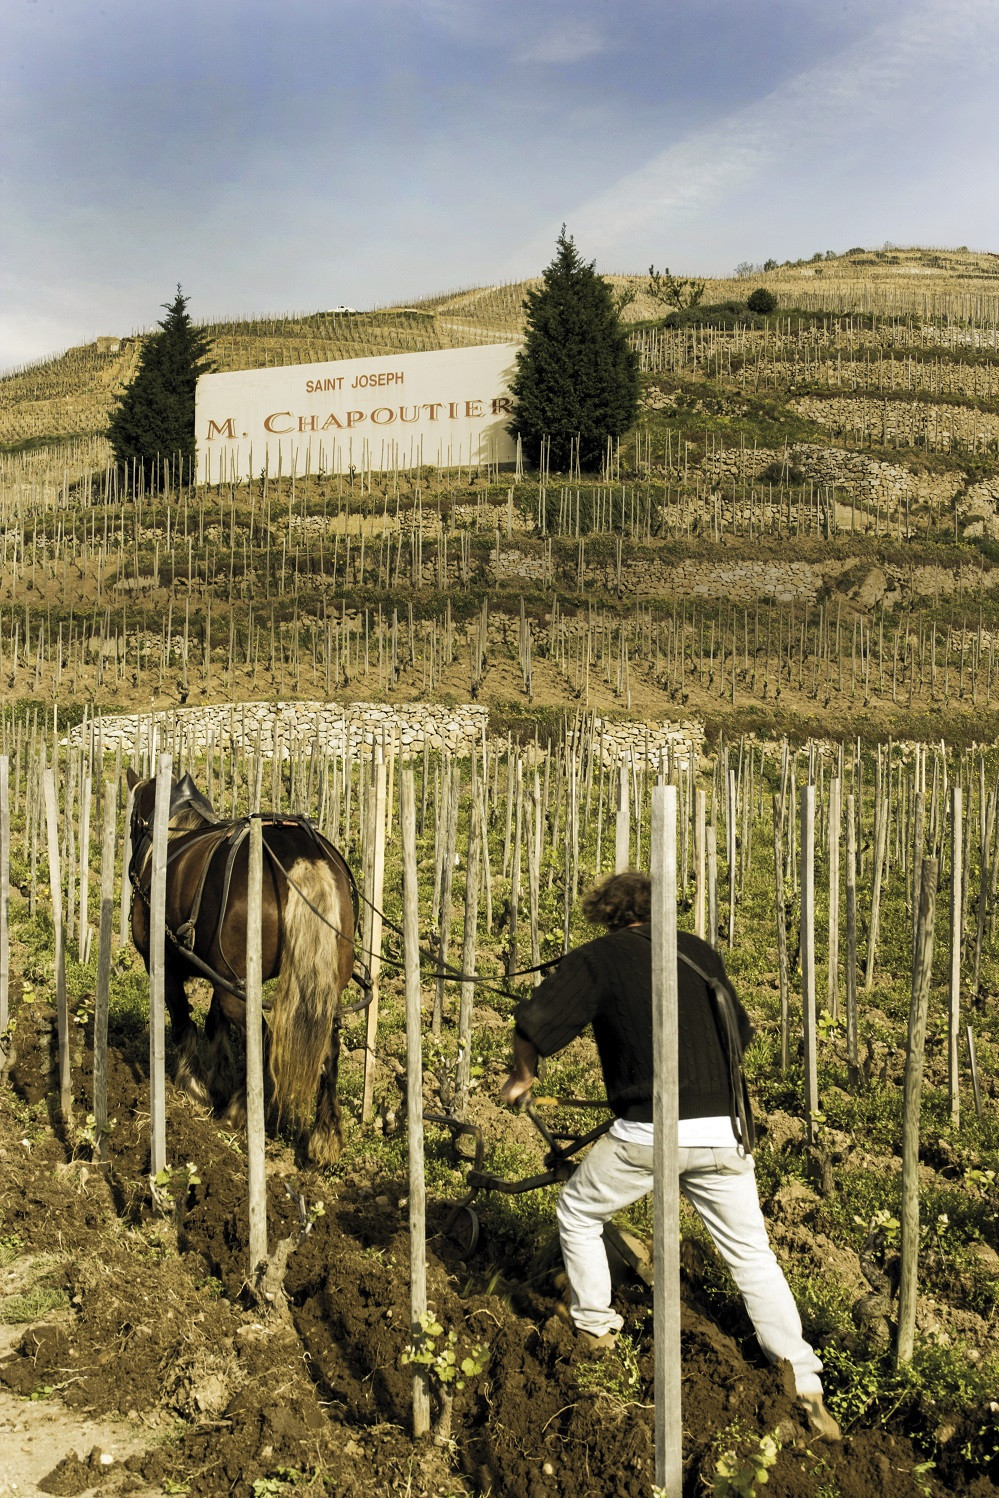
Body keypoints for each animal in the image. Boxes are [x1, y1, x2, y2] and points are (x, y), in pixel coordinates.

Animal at [127, 766, 357, 1162]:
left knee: (261, 1037)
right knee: (328, 1048)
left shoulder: (167, 966)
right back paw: (324, 1137)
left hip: (238, 987)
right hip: (322, 988)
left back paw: (243, 1109)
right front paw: (219, 1080)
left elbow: (183, 1021)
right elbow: (213, 1022)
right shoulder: (221, 974)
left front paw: (193, 1085)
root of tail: (303, 857)